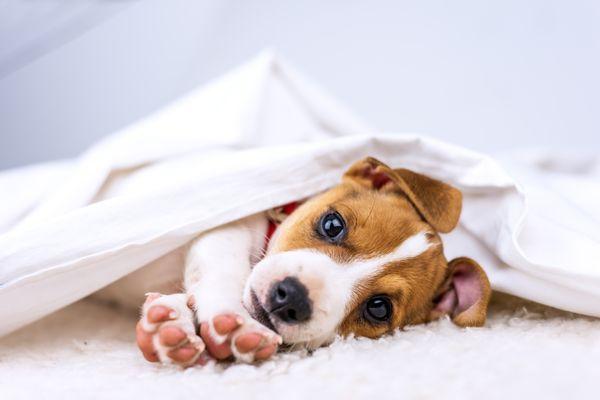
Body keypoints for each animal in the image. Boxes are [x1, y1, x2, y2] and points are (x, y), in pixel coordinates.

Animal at [137, 155, 492, 366]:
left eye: (378, 308)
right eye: (333, 224)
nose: (291, 297)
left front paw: (170, 324)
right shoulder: (227, 227)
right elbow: (223, 265)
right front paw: (231, 319)